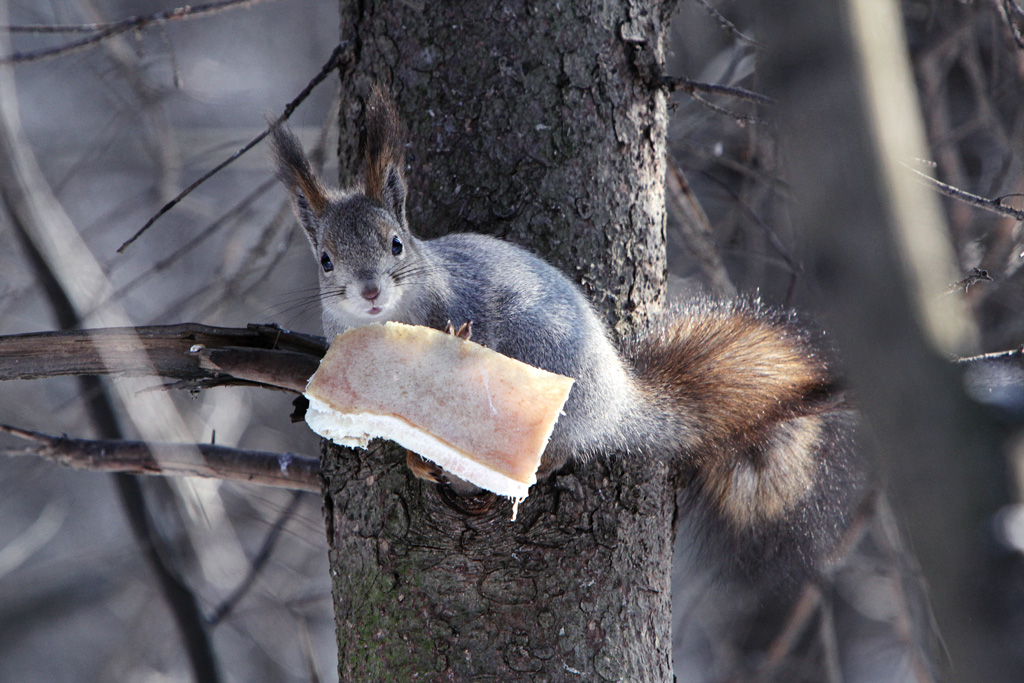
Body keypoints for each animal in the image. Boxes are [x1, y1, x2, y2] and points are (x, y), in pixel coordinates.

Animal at [268, 88, 860, 585]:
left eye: (396, 243)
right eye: (325, 261)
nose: (369, 291)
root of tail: (618, 399)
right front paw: (412, 456)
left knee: (559, 452)